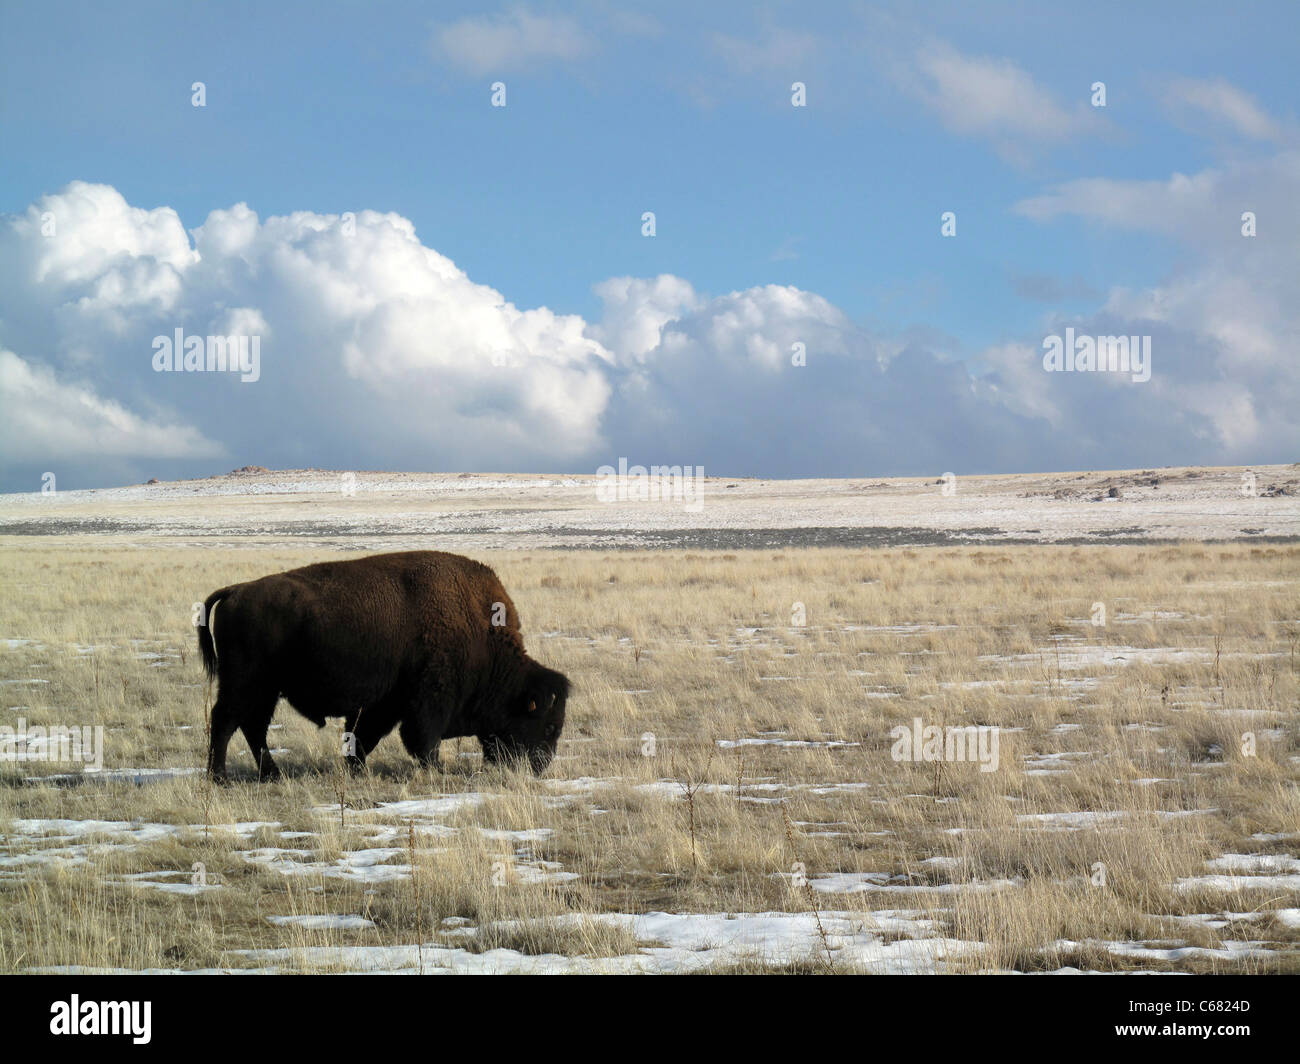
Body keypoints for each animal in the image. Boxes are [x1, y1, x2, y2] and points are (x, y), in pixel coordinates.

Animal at [196, 546, 569, 780]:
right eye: (549, 726)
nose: (541, 767)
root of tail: (235, 591)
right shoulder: (428, 701)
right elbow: (422, 740)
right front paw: (434, 769)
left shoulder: (384, 704)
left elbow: (363, 736)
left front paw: (356, 769)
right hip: (246, 683)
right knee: (227, 721)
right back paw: (220, 778)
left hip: (266, 689)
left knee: (252, 727)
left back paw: (270, 774)